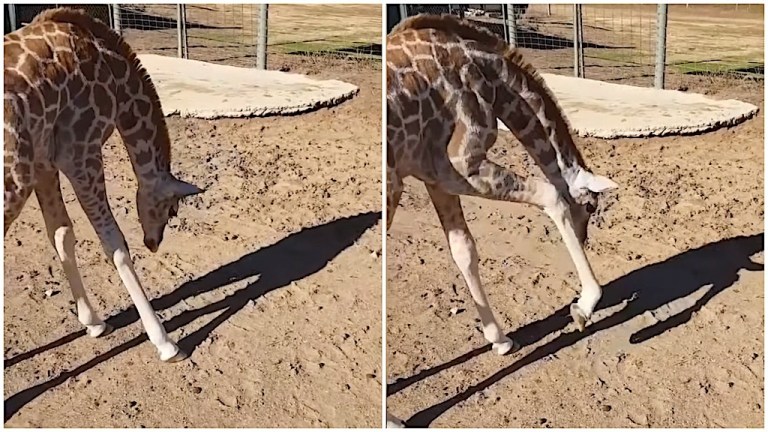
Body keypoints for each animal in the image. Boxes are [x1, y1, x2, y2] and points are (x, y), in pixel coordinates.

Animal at [4, 8, 202, 362]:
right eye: (172, 210)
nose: (153, 243)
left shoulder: (44, 162)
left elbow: (61, 234)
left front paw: (94, 323)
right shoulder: (82, 151)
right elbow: (115, 243)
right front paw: (166, 343)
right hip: (13, 181)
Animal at [384, 13, 616, 426]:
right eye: (590, 208)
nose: (587, 237)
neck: (492, 79)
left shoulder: (434, 173)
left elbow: (463, 249)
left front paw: (501, 339)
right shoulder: (462, 162)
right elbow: (553, 195)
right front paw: (584, 306)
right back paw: (393, 418)